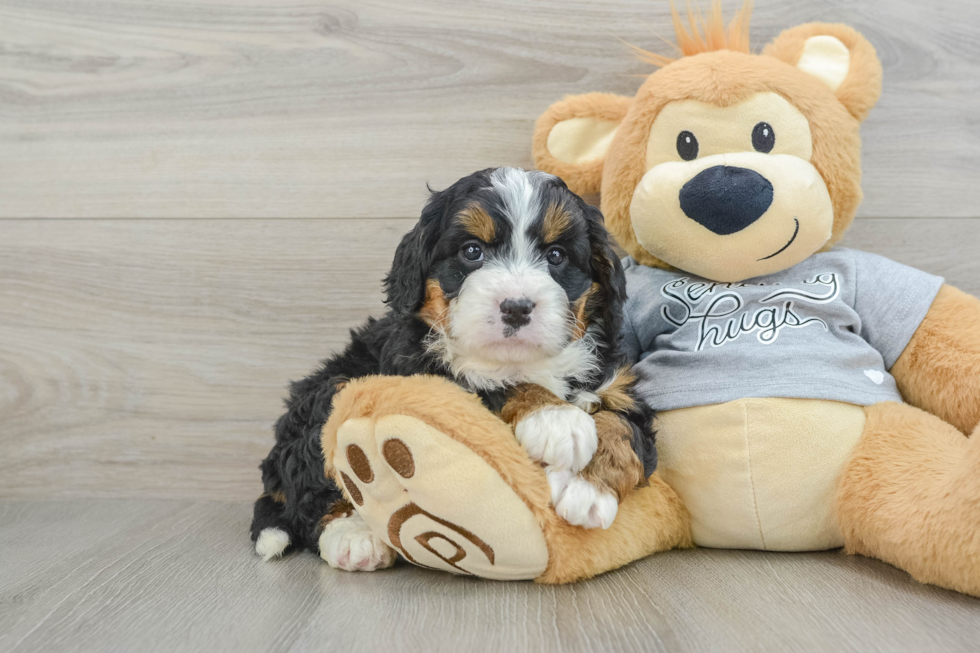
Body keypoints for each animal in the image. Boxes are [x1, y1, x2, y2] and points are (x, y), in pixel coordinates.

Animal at [249, 167, 656, 572]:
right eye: (472, 251)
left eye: (556, 255)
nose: (517, 307)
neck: (526, 360)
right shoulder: (424, 375)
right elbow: (490, 384)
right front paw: (554, 418)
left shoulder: (619, 384)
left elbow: (622, 426)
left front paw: (586, 488)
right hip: (331, 391)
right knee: (310, 496)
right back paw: (353, 536)